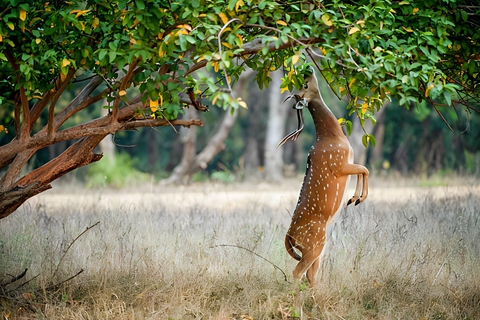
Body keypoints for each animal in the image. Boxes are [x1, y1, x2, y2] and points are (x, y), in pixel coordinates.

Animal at [280, 69, 370, 286]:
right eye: (304, 84)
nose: (308, 69)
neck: (333, 137)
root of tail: (289, 236)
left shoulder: (347, 162)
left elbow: (362, 169)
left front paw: (353, 198)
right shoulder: (338, 163)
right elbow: (364, 169)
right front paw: (357, 198)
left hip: (314, 248)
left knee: (310, 275)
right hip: (314, 243)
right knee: (297, 273)